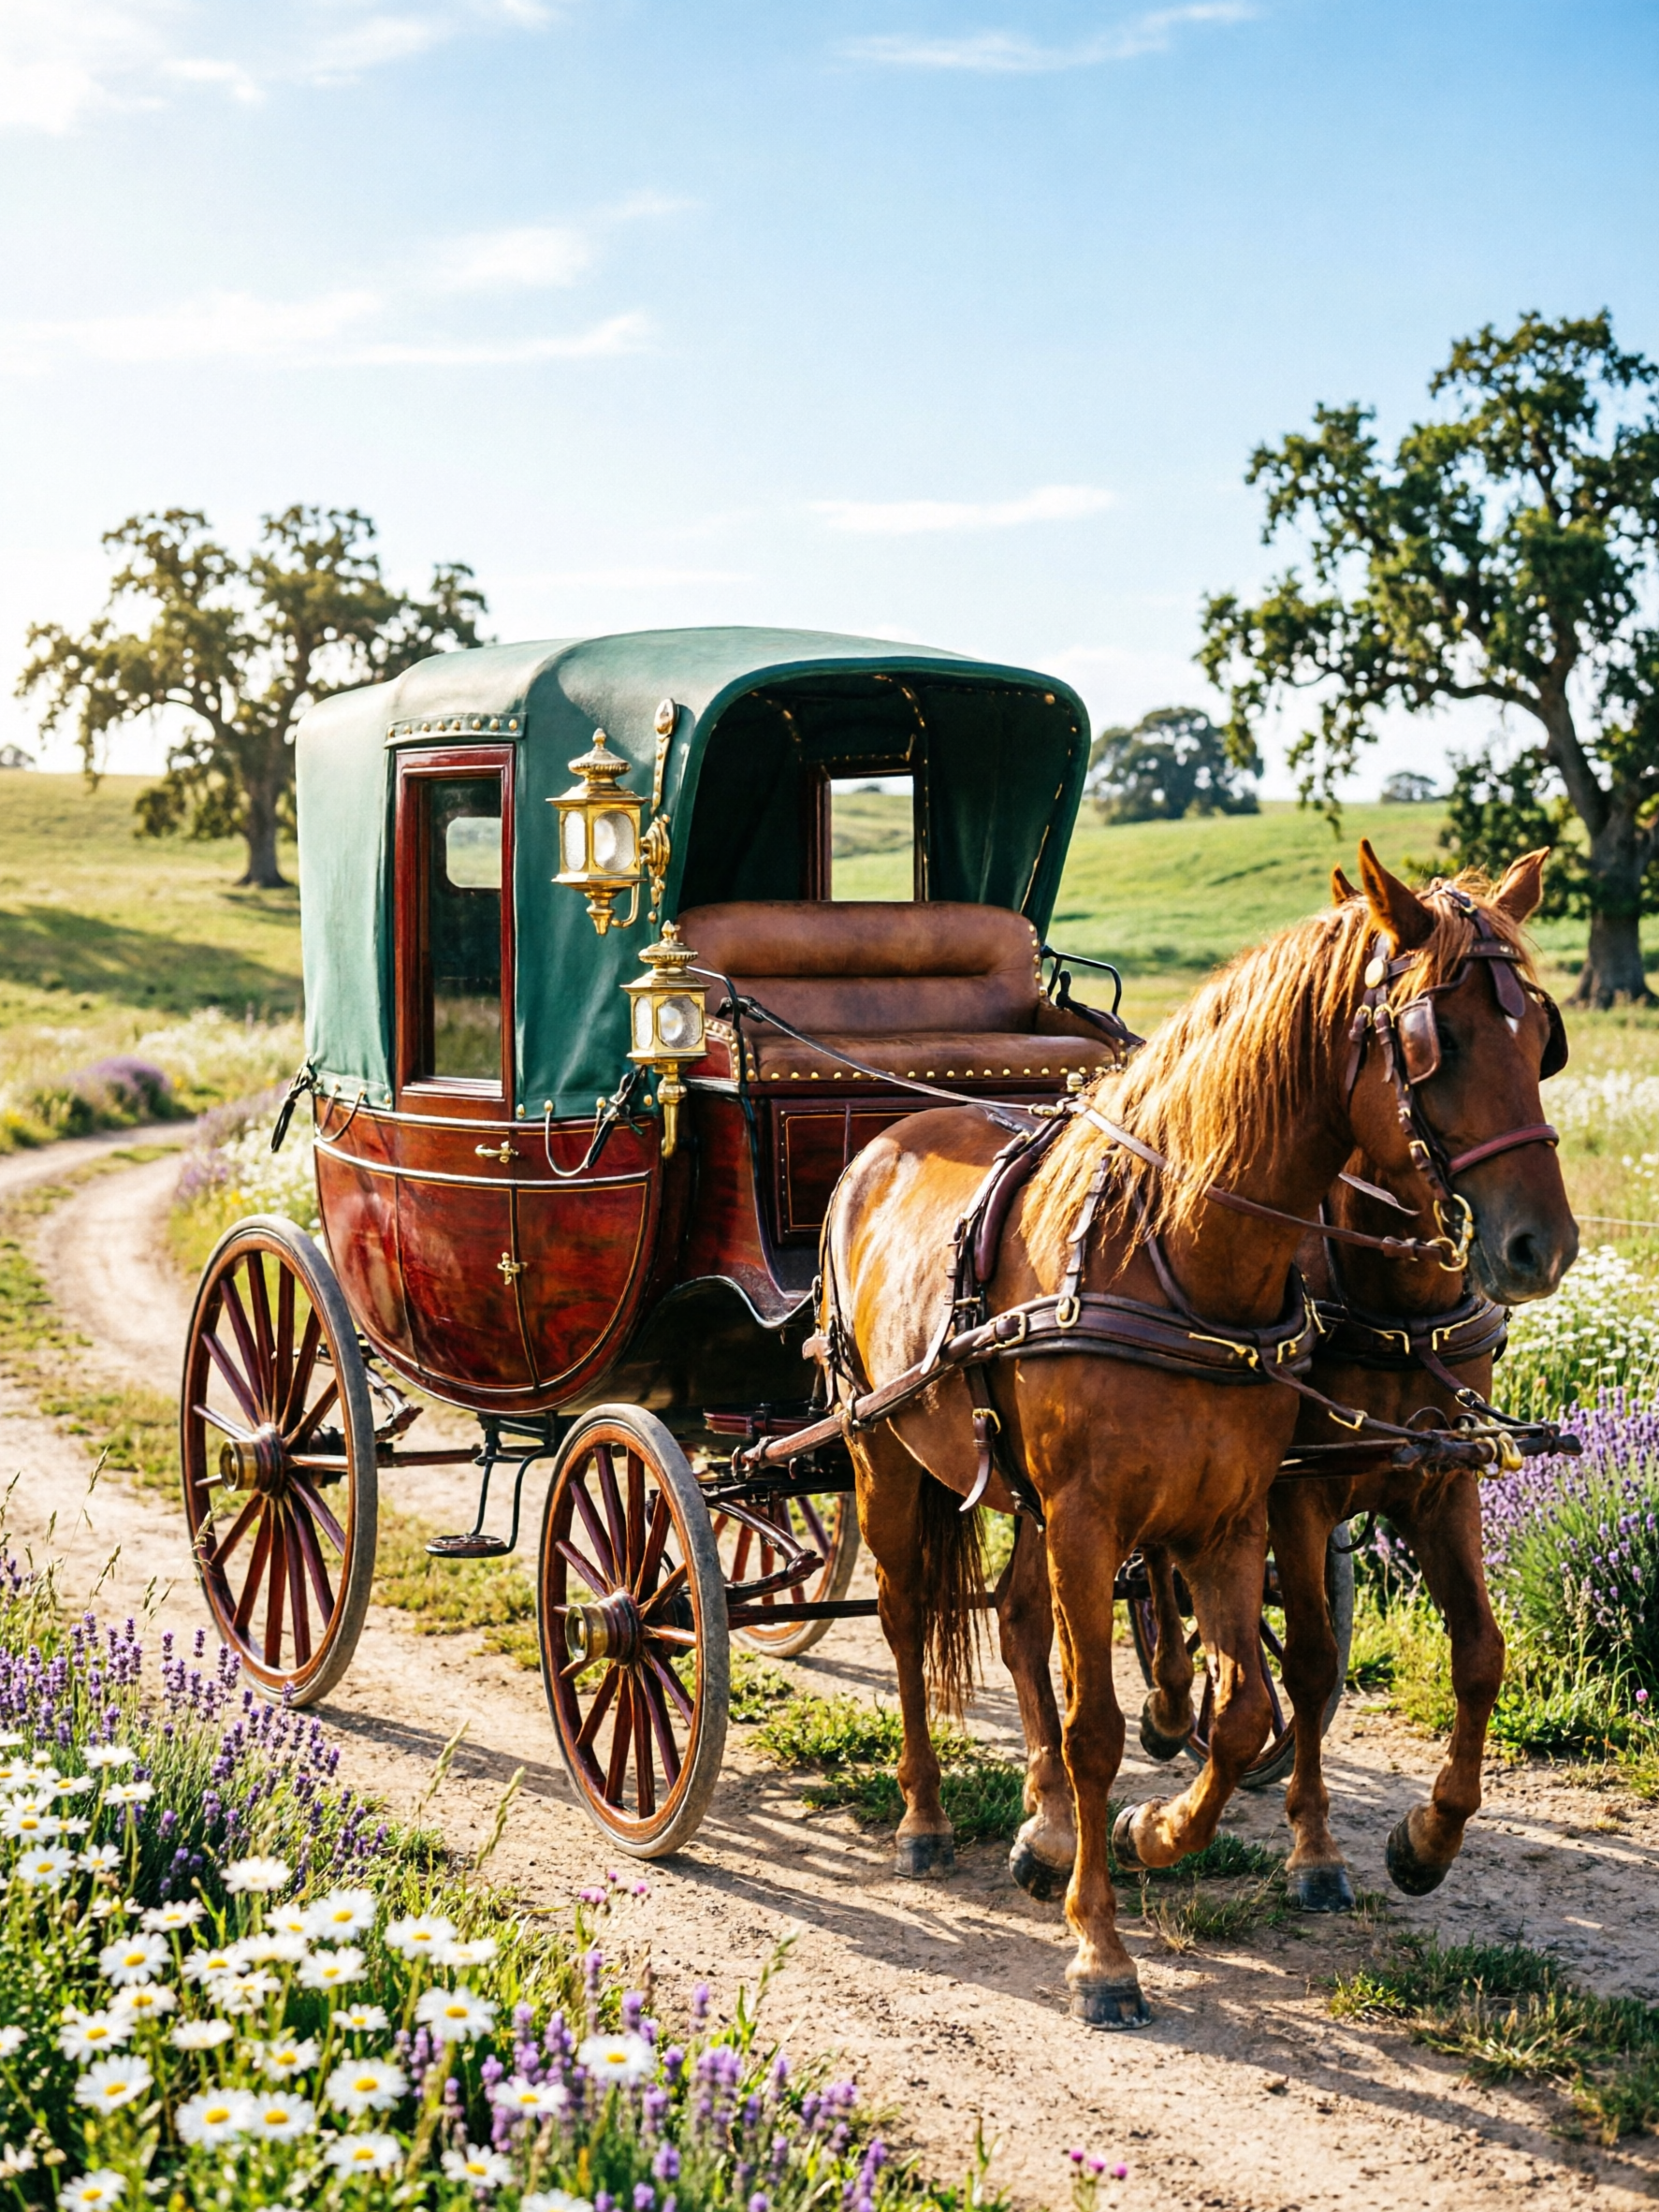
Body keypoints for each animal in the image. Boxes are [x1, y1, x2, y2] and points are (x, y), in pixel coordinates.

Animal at [820, 845, 1576, 2028]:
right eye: (1435, 1041)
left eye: (1542, 1035)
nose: (1543, 1244)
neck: (1174, 1248)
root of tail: (885, 1141)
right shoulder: (1233, 1503)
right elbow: (1138, 1713)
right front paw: (1109, 1946)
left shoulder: (1331, 1495)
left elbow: (1316, 1687)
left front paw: (1403, 1839)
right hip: (884, 1455)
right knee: (906, 1621)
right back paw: (927, 1820)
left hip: (1031, 1497)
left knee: (1020, 1623)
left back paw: (1045, 1824)